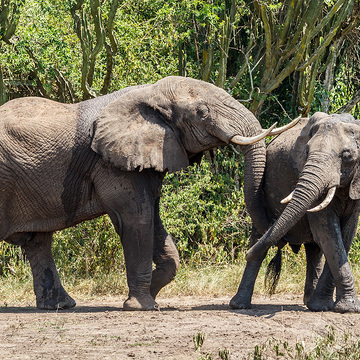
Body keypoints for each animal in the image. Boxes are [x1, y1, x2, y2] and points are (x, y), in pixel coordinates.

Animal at [0, 76, 296, 312]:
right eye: (201, 112)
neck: (150, 93)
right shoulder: (111, 163)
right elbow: (138, 217)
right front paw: (141, 306)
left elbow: (154, 218)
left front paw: (150, 296)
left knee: (38, 241)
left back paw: (60, 306)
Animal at [231, 112, 360, 312]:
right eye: (307, 152)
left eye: (347, 156)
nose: (244, 254)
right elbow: (329, 233)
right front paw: (345, 308)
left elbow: (345, 235)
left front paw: (336, 307)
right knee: (259, 238)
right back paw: (240, 305)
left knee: (314, 249)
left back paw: (311, 303)